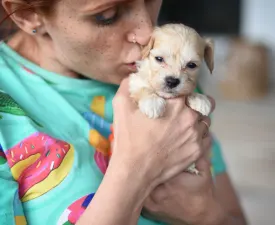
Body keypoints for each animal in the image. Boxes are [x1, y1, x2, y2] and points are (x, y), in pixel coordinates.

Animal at [129, 23, 216, 174]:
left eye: (191, 65)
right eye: (159, 59)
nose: (172, 81)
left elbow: (189, 91)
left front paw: (200, 100)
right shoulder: (135, 80)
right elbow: (144, 87)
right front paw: (152, 103)